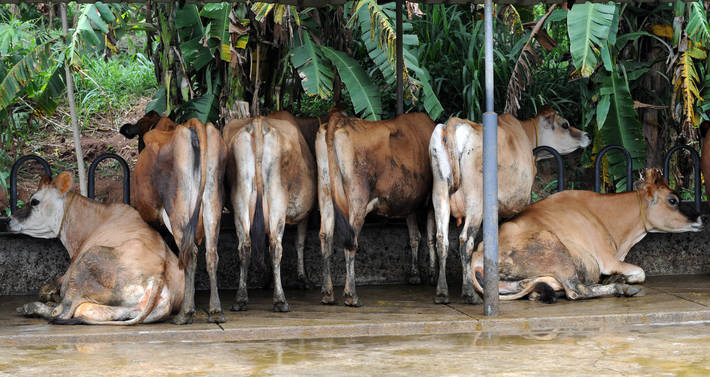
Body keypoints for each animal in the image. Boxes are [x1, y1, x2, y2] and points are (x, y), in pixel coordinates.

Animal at [9, 173, 184, 324]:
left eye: (34, 201)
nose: (9, 220)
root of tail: (159, 277)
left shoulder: (67, 275)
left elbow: (45, 289)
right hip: (123, 309)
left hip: (88, 260)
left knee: (61, 312)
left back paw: (29, 308)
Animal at [118, 111, 227, 324]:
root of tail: (193, 126)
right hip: (213, 202)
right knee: (211, 253)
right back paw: (215, 311)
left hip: (177, 211)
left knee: (189, 253)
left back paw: (185, 313)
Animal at [220, 114, 314, 312]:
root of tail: (257, 122)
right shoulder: (305, 214)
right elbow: (300, 242)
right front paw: (303, 278)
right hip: (277, 198)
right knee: (276, 246)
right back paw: (280, 300)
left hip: (240, 196)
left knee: (245, 246)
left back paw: (240, 299)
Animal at [318, 111, 440, 306]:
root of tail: (341, 120)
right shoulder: (430, 200)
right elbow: (431, 236)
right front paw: (433, 275)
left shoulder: (409, 203)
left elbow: (414, 236)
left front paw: (414, 275)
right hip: (358, 199)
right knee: (350, 242)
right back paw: (351, 295)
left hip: (325, 193)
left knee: (325, 237)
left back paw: (328, 293)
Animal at [432, 105, 592, 302]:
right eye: (565, 124)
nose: (587, 135)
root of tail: (455, 122)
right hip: (476, 200)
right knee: (465, 240)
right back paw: (469, 293)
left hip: (439, 191)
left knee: (441, 239)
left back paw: (442, 292)